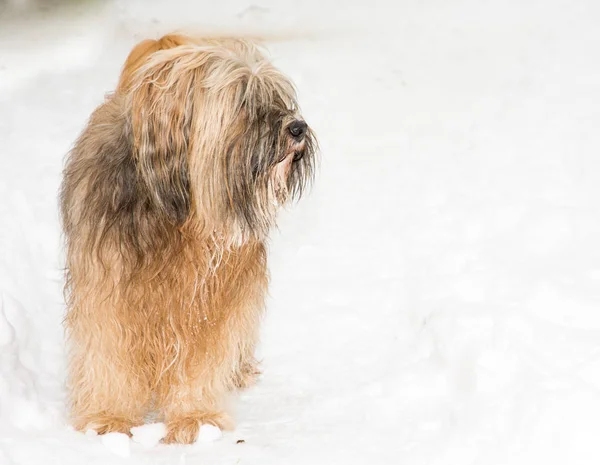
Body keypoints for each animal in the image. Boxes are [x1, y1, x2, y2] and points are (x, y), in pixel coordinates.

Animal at [58, 33, 316, 442]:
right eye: (244, 100)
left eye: (278, 97)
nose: (298, 127)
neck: (177, 210)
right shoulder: (106, 286)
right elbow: (108, 352)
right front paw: (108, 418)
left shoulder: (210, 295)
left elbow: (200, 356)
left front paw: (195, 418)